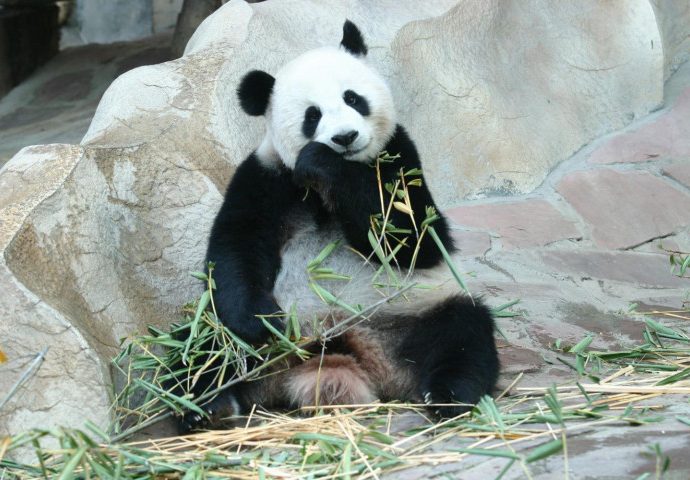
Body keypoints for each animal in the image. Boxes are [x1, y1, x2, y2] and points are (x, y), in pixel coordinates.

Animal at [180, 20, 498, 432]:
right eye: (312, 115)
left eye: (353, 98)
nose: (344, 137)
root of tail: (342, 351)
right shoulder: (265, 176)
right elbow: (236, 248)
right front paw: (260, 322)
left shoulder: (399, 156)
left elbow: (415, 241)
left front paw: (323, 162)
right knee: (200, 343)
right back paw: (205, 404)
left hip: (411, 316)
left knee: (464, 331)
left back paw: (448, 396)